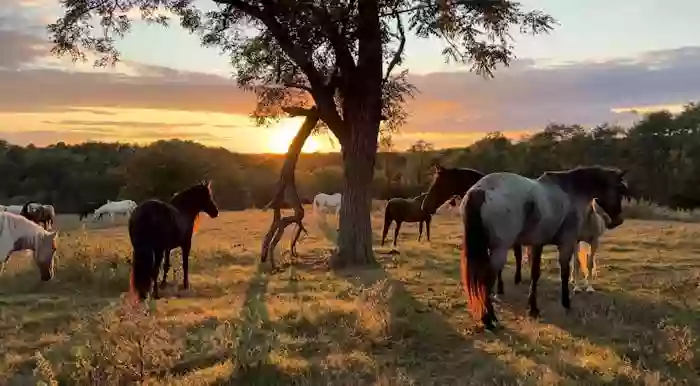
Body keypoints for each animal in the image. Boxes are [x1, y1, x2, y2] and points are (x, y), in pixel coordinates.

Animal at [456, 164, 628, 330]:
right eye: (619, 190)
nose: (618, 221)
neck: (570, 193)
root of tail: (480, 190)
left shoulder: (537, 244)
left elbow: (535, 274)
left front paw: (533, 309)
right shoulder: (566, 243)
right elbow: (565, 272)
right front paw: (566, 302)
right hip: (499, 250)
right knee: (486, 281)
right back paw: (490, 319)